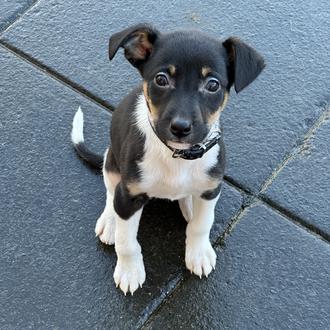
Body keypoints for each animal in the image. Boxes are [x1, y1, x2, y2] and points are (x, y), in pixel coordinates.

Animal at [71, 24, 264, 296]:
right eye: (161, 79)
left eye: (213, 85)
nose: (180, 127)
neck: (177, 156)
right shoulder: (129, 195)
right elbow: (126, 241)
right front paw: (129, 270)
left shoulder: (211, 187)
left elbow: (202, 224)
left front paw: (199, 253)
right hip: (111, 161)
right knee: (110, 192)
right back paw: (110, 221)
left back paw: (189, 206)